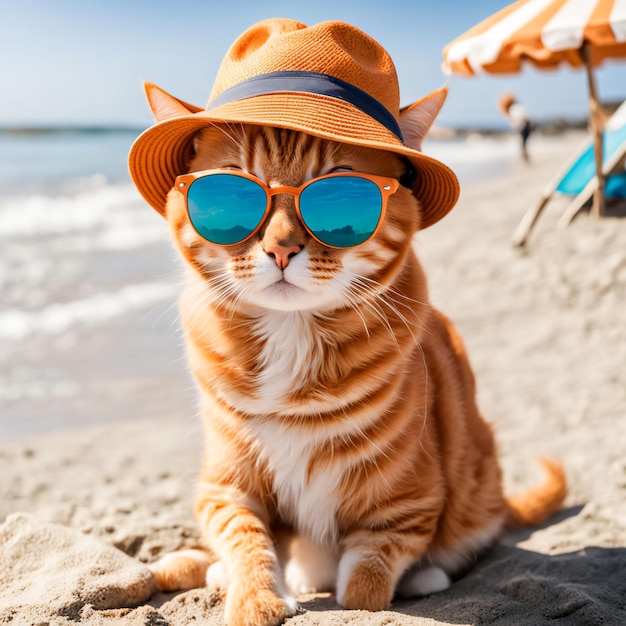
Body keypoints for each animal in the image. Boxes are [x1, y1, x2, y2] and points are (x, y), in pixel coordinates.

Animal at [128, 18, 564, 624]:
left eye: (337, 191)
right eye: (234, 188)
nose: (280, 248)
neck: (290, 339)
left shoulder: (410, 503)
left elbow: (366, 583)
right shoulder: (223, 485)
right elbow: (242, 536)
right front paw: (256, 596)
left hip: (479, 480)